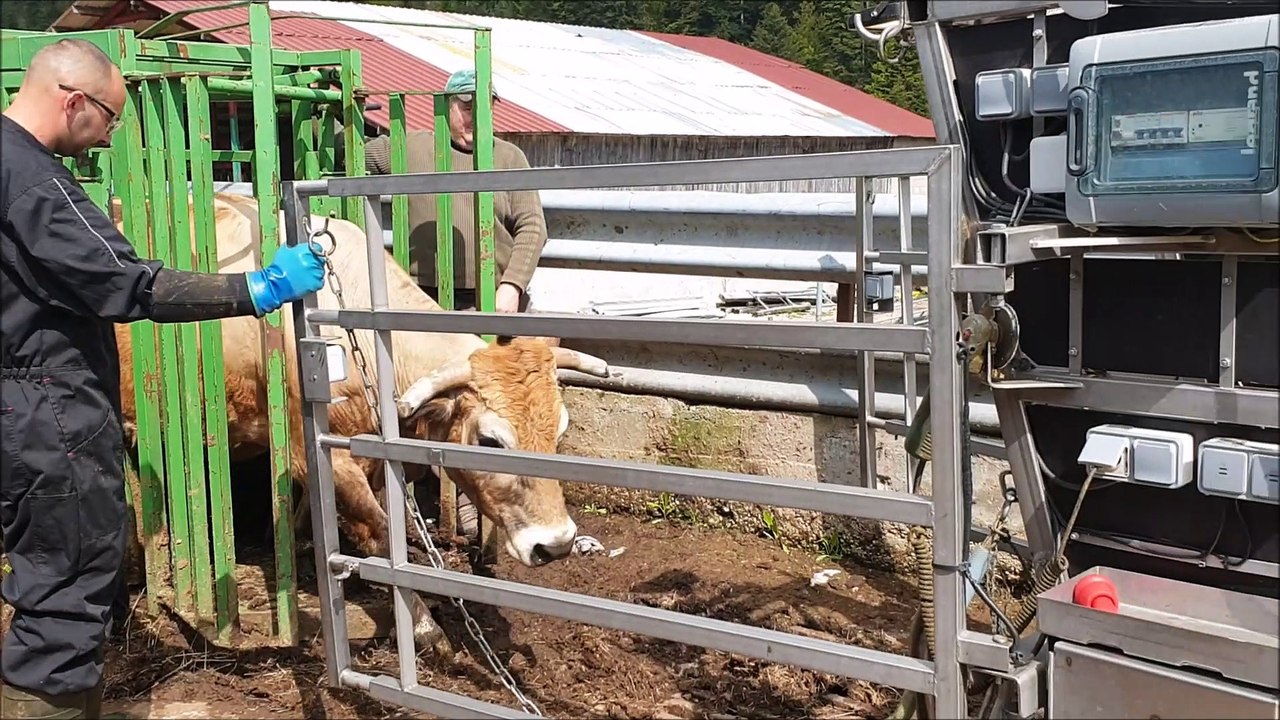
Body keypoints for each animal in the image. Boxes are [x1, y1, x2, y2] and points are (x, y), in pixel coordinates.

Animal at [111, 192, 611, 654]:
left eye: (560, 432)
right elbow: (380, 533)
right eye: (490, 441)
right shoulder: (317, 454)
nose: (557, 543)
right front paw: (426, 627)